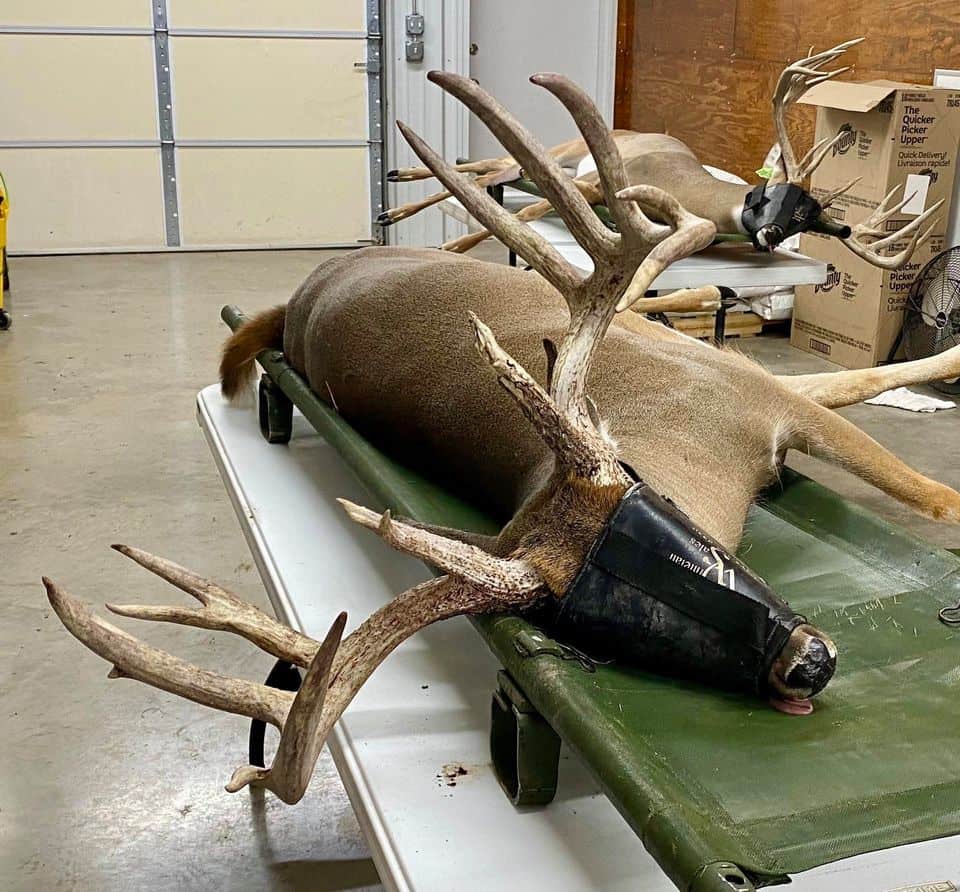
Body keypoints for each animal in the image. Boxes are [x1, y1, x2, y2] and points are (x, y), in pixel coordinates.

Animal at [44, 68, 960, 806]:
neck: (697, 453)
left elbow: (902, 448)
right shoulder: (753, 399)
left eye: (650, 509)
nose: (808, 661)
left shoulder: (755, 394)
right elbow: (921, 474)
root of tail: (305, 290)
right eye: (588, 615)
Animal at [383, 40, 942, 272]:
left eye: (808, 218)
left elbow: (524, 204)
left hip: (550, 160)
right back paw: (395, 200)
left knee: (483, 168)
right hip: (562, 153)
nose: (770, 234)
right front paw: (450, 248)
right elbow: (526, 210)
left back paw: (396, 184)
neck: (695, 192)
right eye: (778, 195)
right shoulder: (602, 182)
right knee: (488, 170)